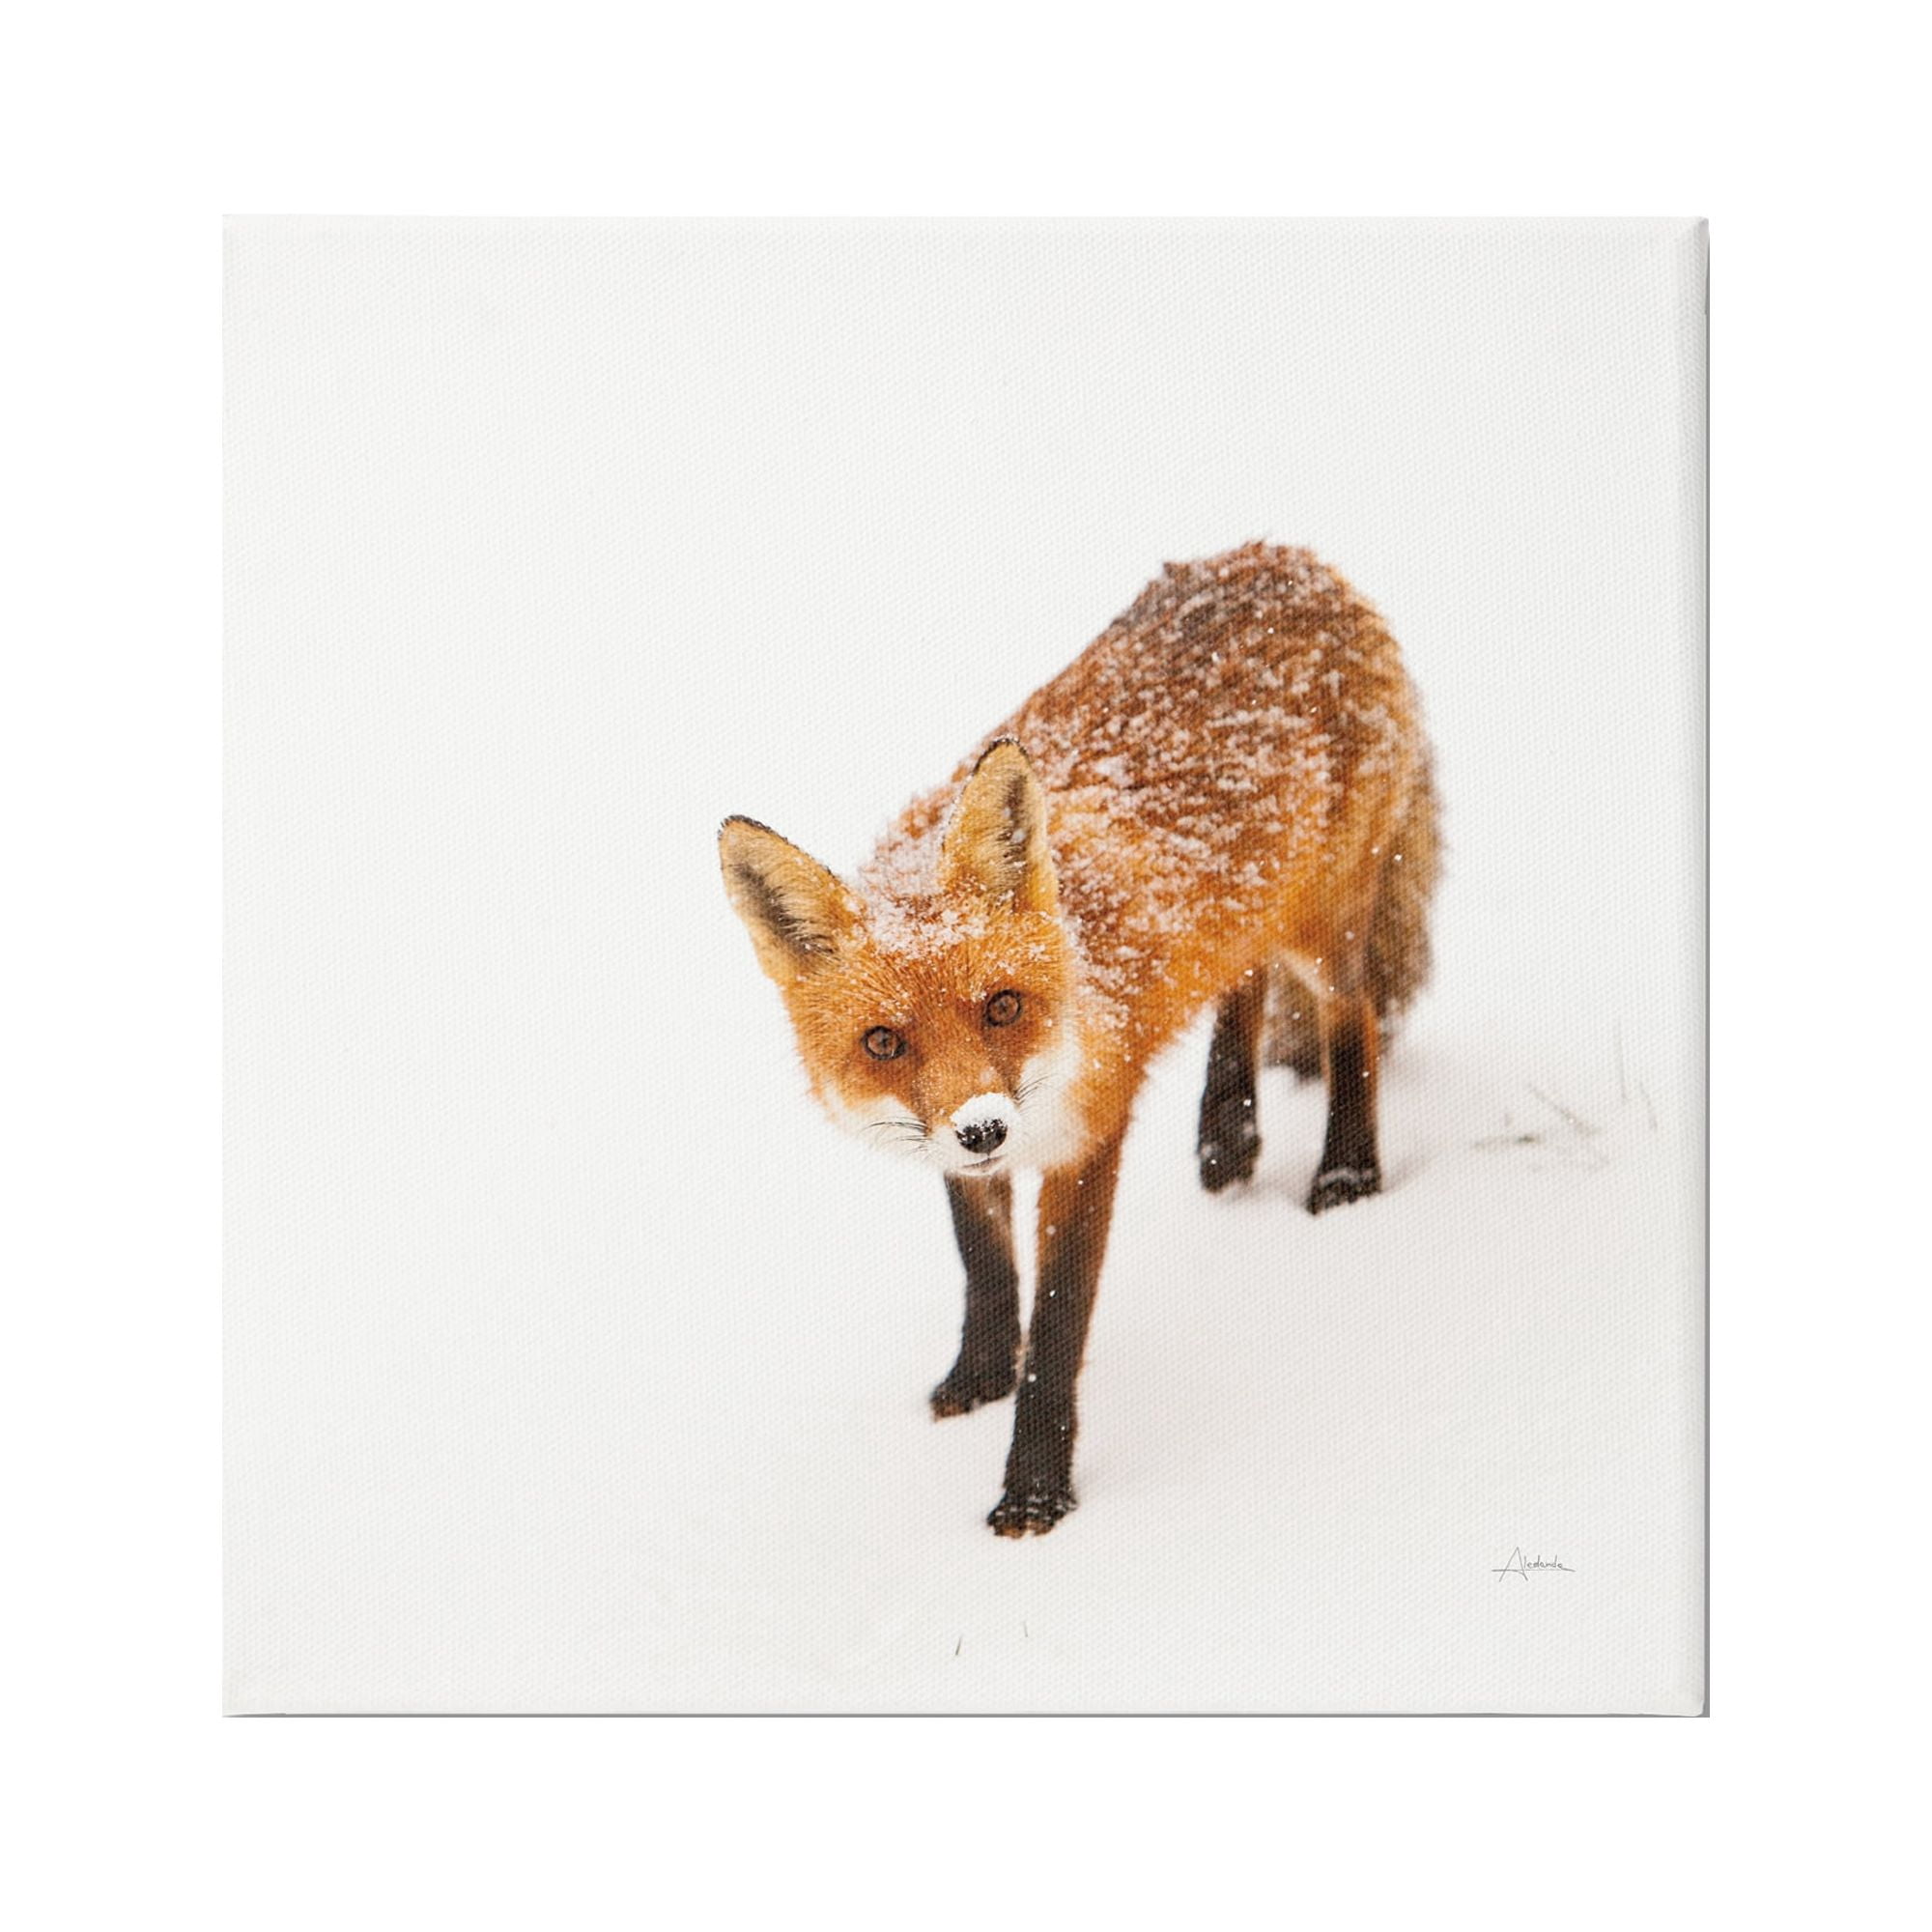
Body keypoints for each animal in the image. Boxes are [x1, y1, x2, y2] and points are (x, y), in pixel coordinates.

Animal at [720, 542, 1438, 1536]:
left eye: (1002, 1007)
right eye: (884, 1043)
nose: (984, 1129)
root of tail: (1286, 556)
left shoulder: (1090, 1136)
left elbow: (1057, 1326)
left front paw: (1034, 1491)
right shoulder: (958, 1149)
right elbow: (984, 1267)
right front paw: (980, 1374)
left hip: (1323, 925)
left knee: (1352, 1017)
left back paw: (1346, 1175)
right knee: (1242, 979)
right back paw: (1228, 1135)